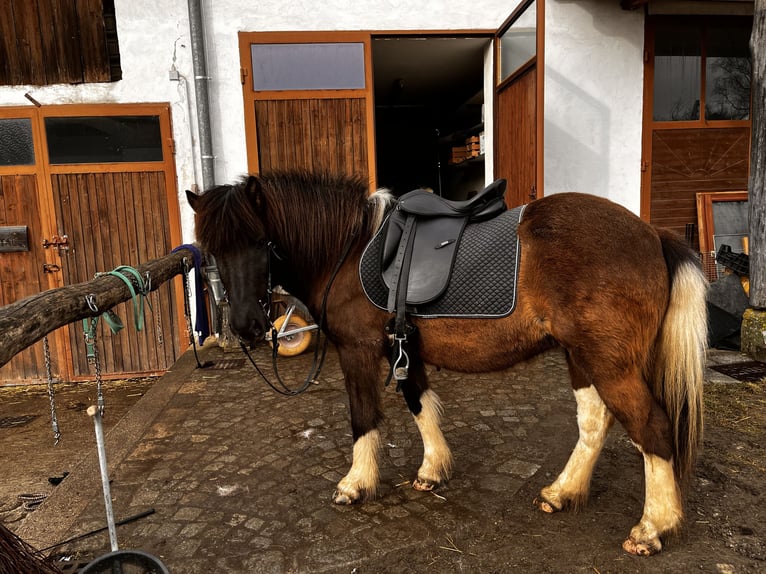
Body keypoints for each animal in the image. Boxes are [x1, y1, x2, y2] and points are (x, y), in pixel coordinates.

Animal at [186, 170, 707, 556]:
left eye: (261, 241)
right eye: (212, 251)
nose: (248, 326)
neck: (347, 250)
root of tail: (651, 234)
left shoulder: (357, 351)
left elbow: (363, 418)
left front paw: (356, 483)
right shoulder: (404, 350)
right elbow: (420, 405)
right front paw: (433, 471)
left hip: (609, 364)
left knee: (652, 427)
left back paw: (653, 527)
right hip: (581, 356)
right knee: (595, 421)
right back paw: (562, 492)